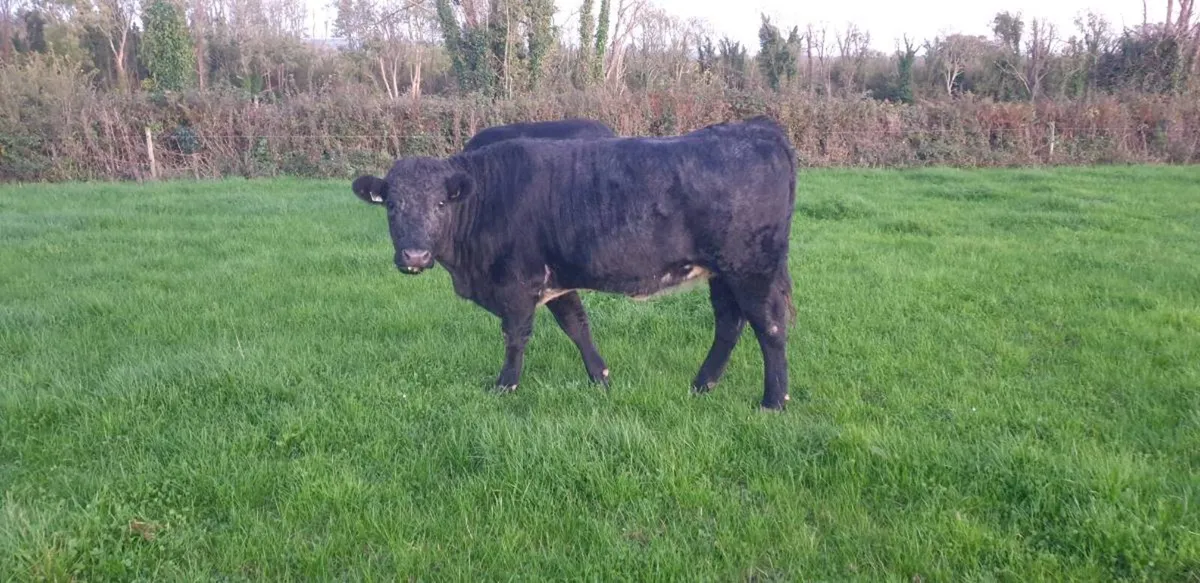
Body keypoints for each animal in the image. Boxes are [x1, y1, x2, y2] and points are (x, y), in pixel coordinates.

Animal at [350, 116, 798, 410]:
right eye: (391, 205)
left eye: (441, 204)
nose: (415, 256)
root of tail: (758, 128)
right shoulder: (556, 280)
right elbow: (577, 327)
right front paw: (601, 378)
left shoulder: (518, 283)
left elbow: (516, 336)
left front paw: (505, 386)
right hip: (723, 272)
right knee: (729, 323)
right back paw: (702, 384)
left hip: (752, 268)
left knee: (770, 327)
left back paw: (774, 400)